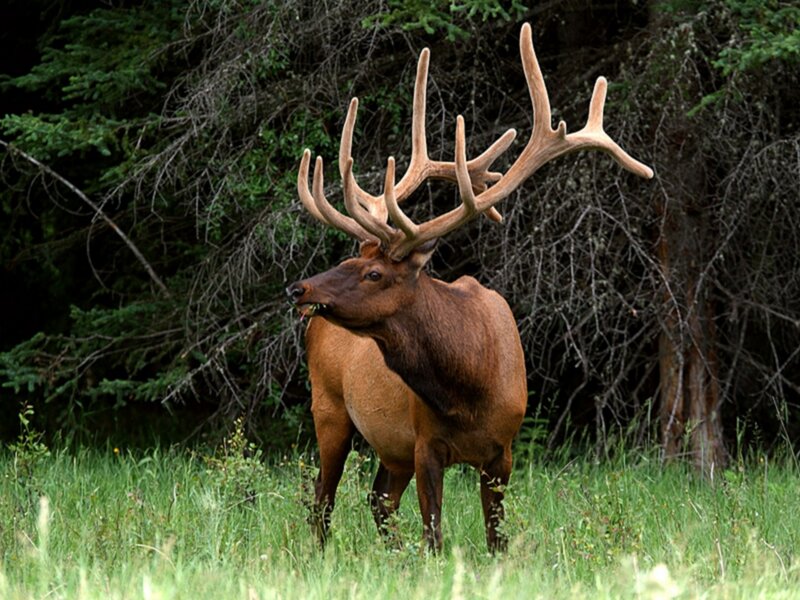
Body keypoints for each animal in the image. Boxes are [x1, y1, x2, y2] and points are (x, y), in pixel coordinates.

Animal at [286, 23, 653, 553]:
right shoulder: (425, 442)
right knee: (324, 500)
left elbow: (495, 536)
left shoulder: (503, 450)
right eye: (347, 260)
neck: (468, 388)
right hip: (329, 407)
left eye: (373, 274)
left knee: (376, 500)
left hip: (386, 445)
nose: (300, 288)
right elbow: (434, 535)